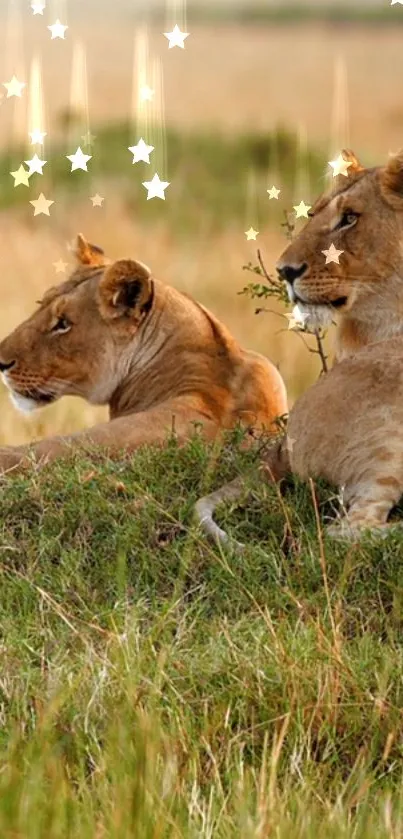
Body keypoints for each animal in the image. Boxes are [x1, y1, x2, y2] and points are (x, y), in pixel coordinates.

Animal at [196, 150, 403, 544]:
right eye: (313, 214)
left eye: (349, 218)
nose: (285, 271)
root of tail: (283, 444)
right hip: (387, 441)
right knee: (346, 529)